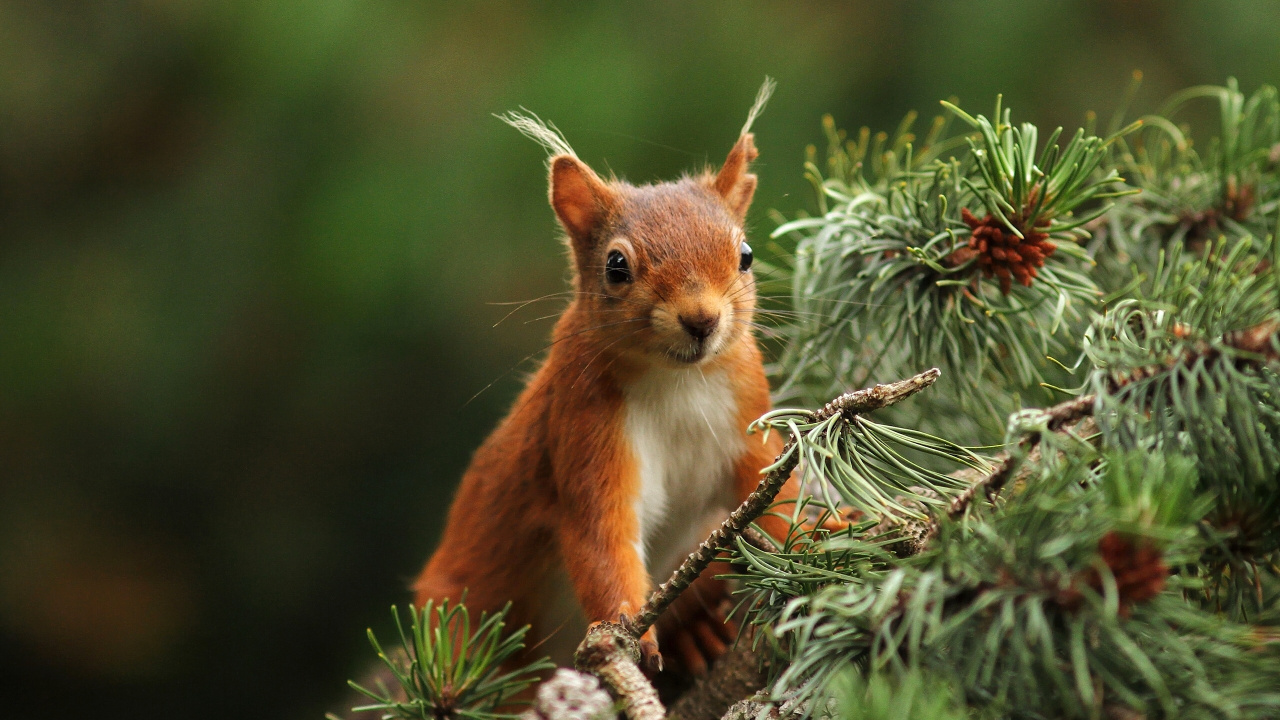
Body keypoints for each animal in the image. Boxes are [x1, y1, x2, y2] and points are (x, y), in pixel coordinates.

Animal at [413, 81, 804, 676]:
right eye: (616, 266)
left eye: (746, 255)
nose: (702, 320)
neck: (677, 382)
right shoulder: (584, 429)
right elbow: (601, 538)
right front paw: (626, 628)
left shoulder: (746, 416)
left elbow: (775, 494)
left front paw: (824, 537)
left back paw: (699, 630)